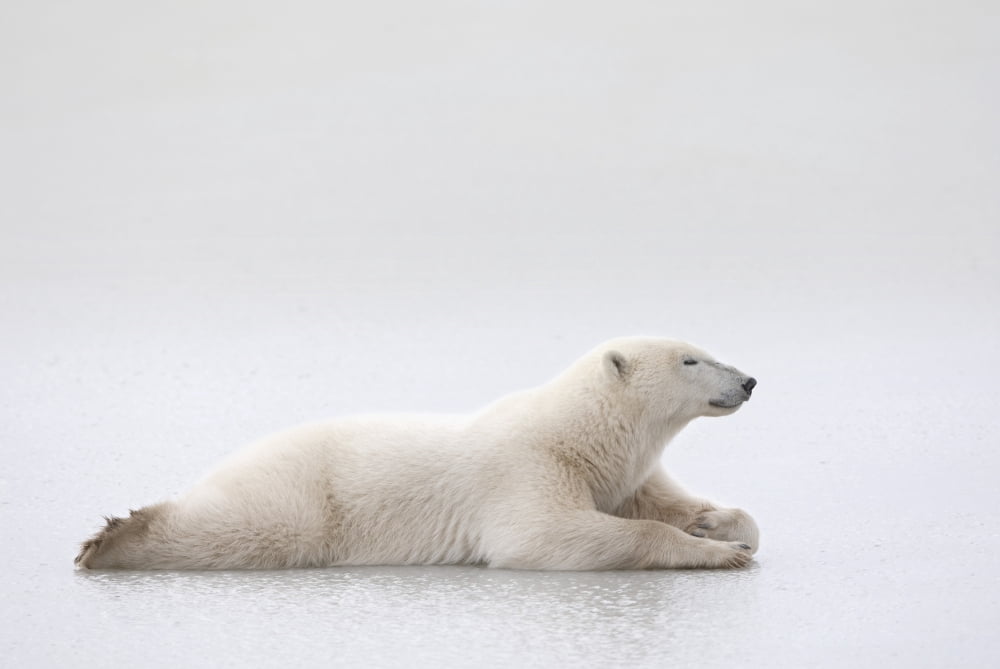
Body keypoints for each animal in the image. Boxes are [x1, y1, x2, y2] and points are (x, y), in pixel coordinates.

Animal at [76, 337, 759, 571]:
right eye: (690, 359)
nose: (749, 380)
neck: (583, 434)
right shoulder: (527, 466)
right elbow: (543, 535)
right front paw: (717, 552)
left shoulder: (620, 474)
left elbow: (662, 502)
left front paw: (715, 524)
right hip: (304, 495)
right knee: (249, 529)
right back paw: (115, 539)